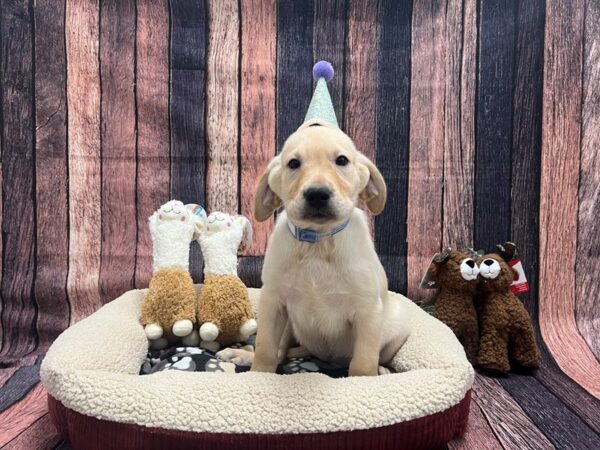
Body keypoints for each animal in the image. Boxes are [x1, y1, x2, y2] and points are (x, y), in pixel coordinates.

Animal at [218, 119, 410, 376]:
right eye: (293, 163)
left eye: (342, 160)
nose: (317, 195)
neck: (318, 243)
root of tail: (325, 357)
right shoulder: (273, 302)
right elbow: (265, 349)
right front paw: (258, 374)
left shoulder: (367, 311)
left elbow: (362, 362)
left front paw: (364, 380)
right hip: (289, 325)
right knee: (280, 352)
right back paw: (242, 354)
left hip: (398, 323)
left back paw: (381, 370)